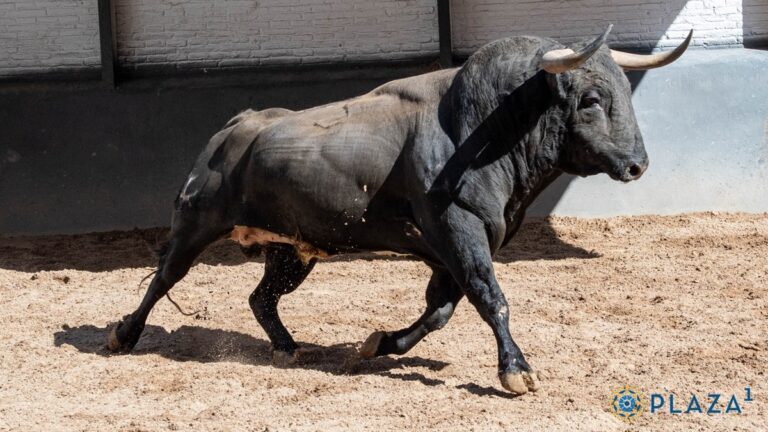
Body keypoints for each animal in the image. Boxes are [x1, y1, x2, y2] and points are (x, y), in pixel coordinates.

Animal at [106, 27, 688, 394]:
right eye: (590, 99)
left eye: (624, 91)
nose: (637, 164)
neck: (480, 127)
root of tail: (234, 126)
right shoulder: (459, 230)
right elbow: (490, 298)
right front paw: (516, 371)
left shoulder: (453, 247)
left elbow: (441, 310)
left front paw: (379, 343)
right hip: (196, 222)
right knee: (163, 277)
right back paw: (123, 335)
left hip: (291, 251)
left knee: (261, 297)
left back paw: (289, 348)